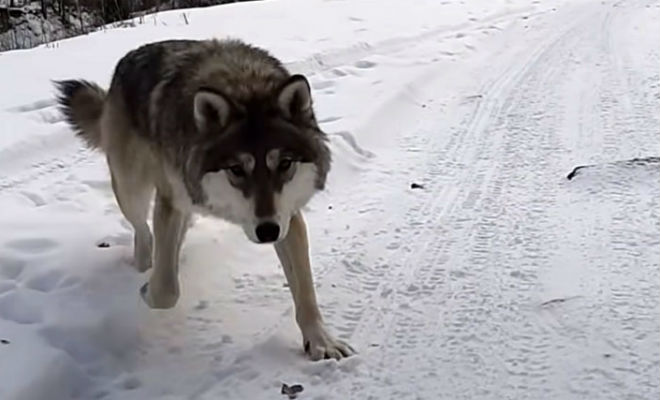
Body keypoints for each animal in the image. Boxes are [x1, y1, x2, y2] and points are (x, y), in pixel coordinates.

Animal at [55, 39, 356, 360]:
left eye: (284, 164)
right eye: (237, 169)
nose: (267, 232)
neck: (242, 84)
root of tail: (126, 62)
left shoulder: (288, 217)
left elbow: (306, 292)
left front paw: (321, 341)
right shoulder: (172, 202)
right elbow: (166, 291)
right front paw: (147, 289)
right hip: (131, 189)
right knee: (143, 231)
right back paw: (145, 262)